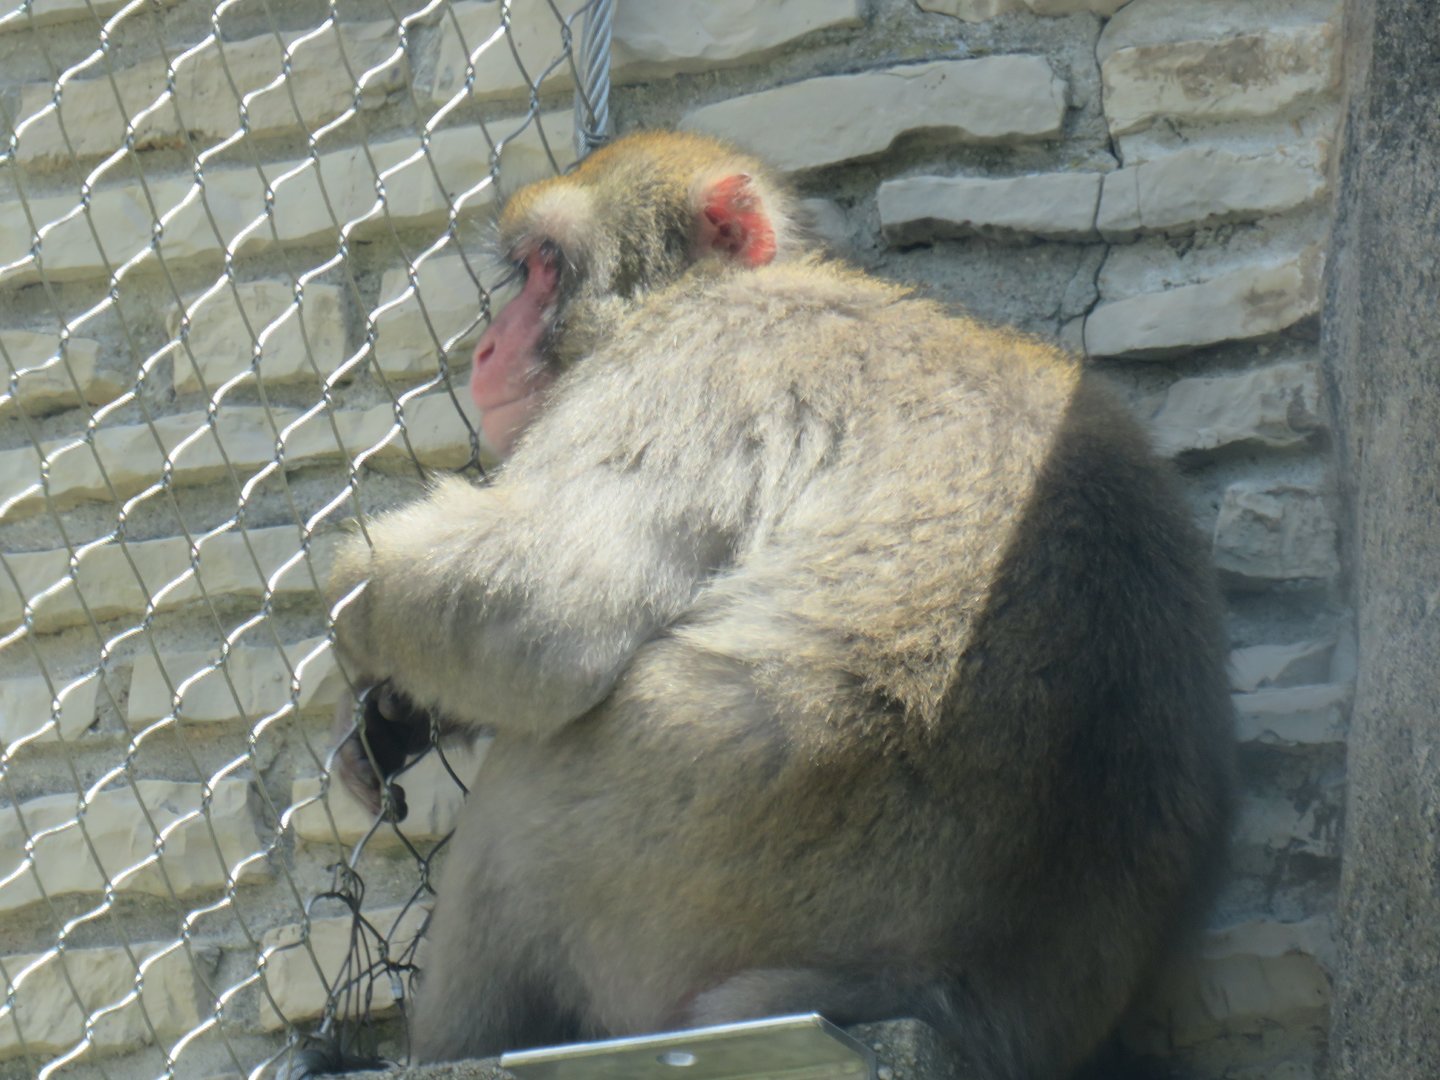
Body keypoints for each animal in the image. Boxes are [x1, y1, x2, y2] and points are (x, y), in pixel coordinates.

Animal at [325, 130, 1234, 1079]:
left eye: (544, 267)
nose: (486, 348)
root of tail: (943, 990)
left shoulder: (691, 361)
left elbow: (546, 621)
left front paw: (354, 622)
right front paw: (393, 715)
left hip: (664, 864)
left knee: (523, 799)